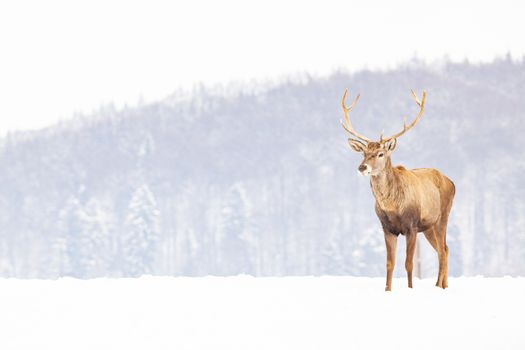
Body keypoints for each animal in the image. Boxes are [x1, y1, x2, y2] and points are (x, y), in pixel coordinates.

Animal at [340, 89, 454, 292]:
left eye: (380, 153)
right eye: (363, 153)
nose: (362, 167)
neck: (393, 207)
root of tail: (452, 182)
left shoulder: (412, 226)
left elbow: (409, 264)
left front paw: (410, 289)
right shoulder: (387, 228)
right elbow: (389, 264)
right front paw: (387, 290)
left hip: (443, 216)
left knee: (442, 250)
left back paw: (438, 286)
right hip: (429, 227)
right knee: (445, 249)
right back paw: (443, 285)